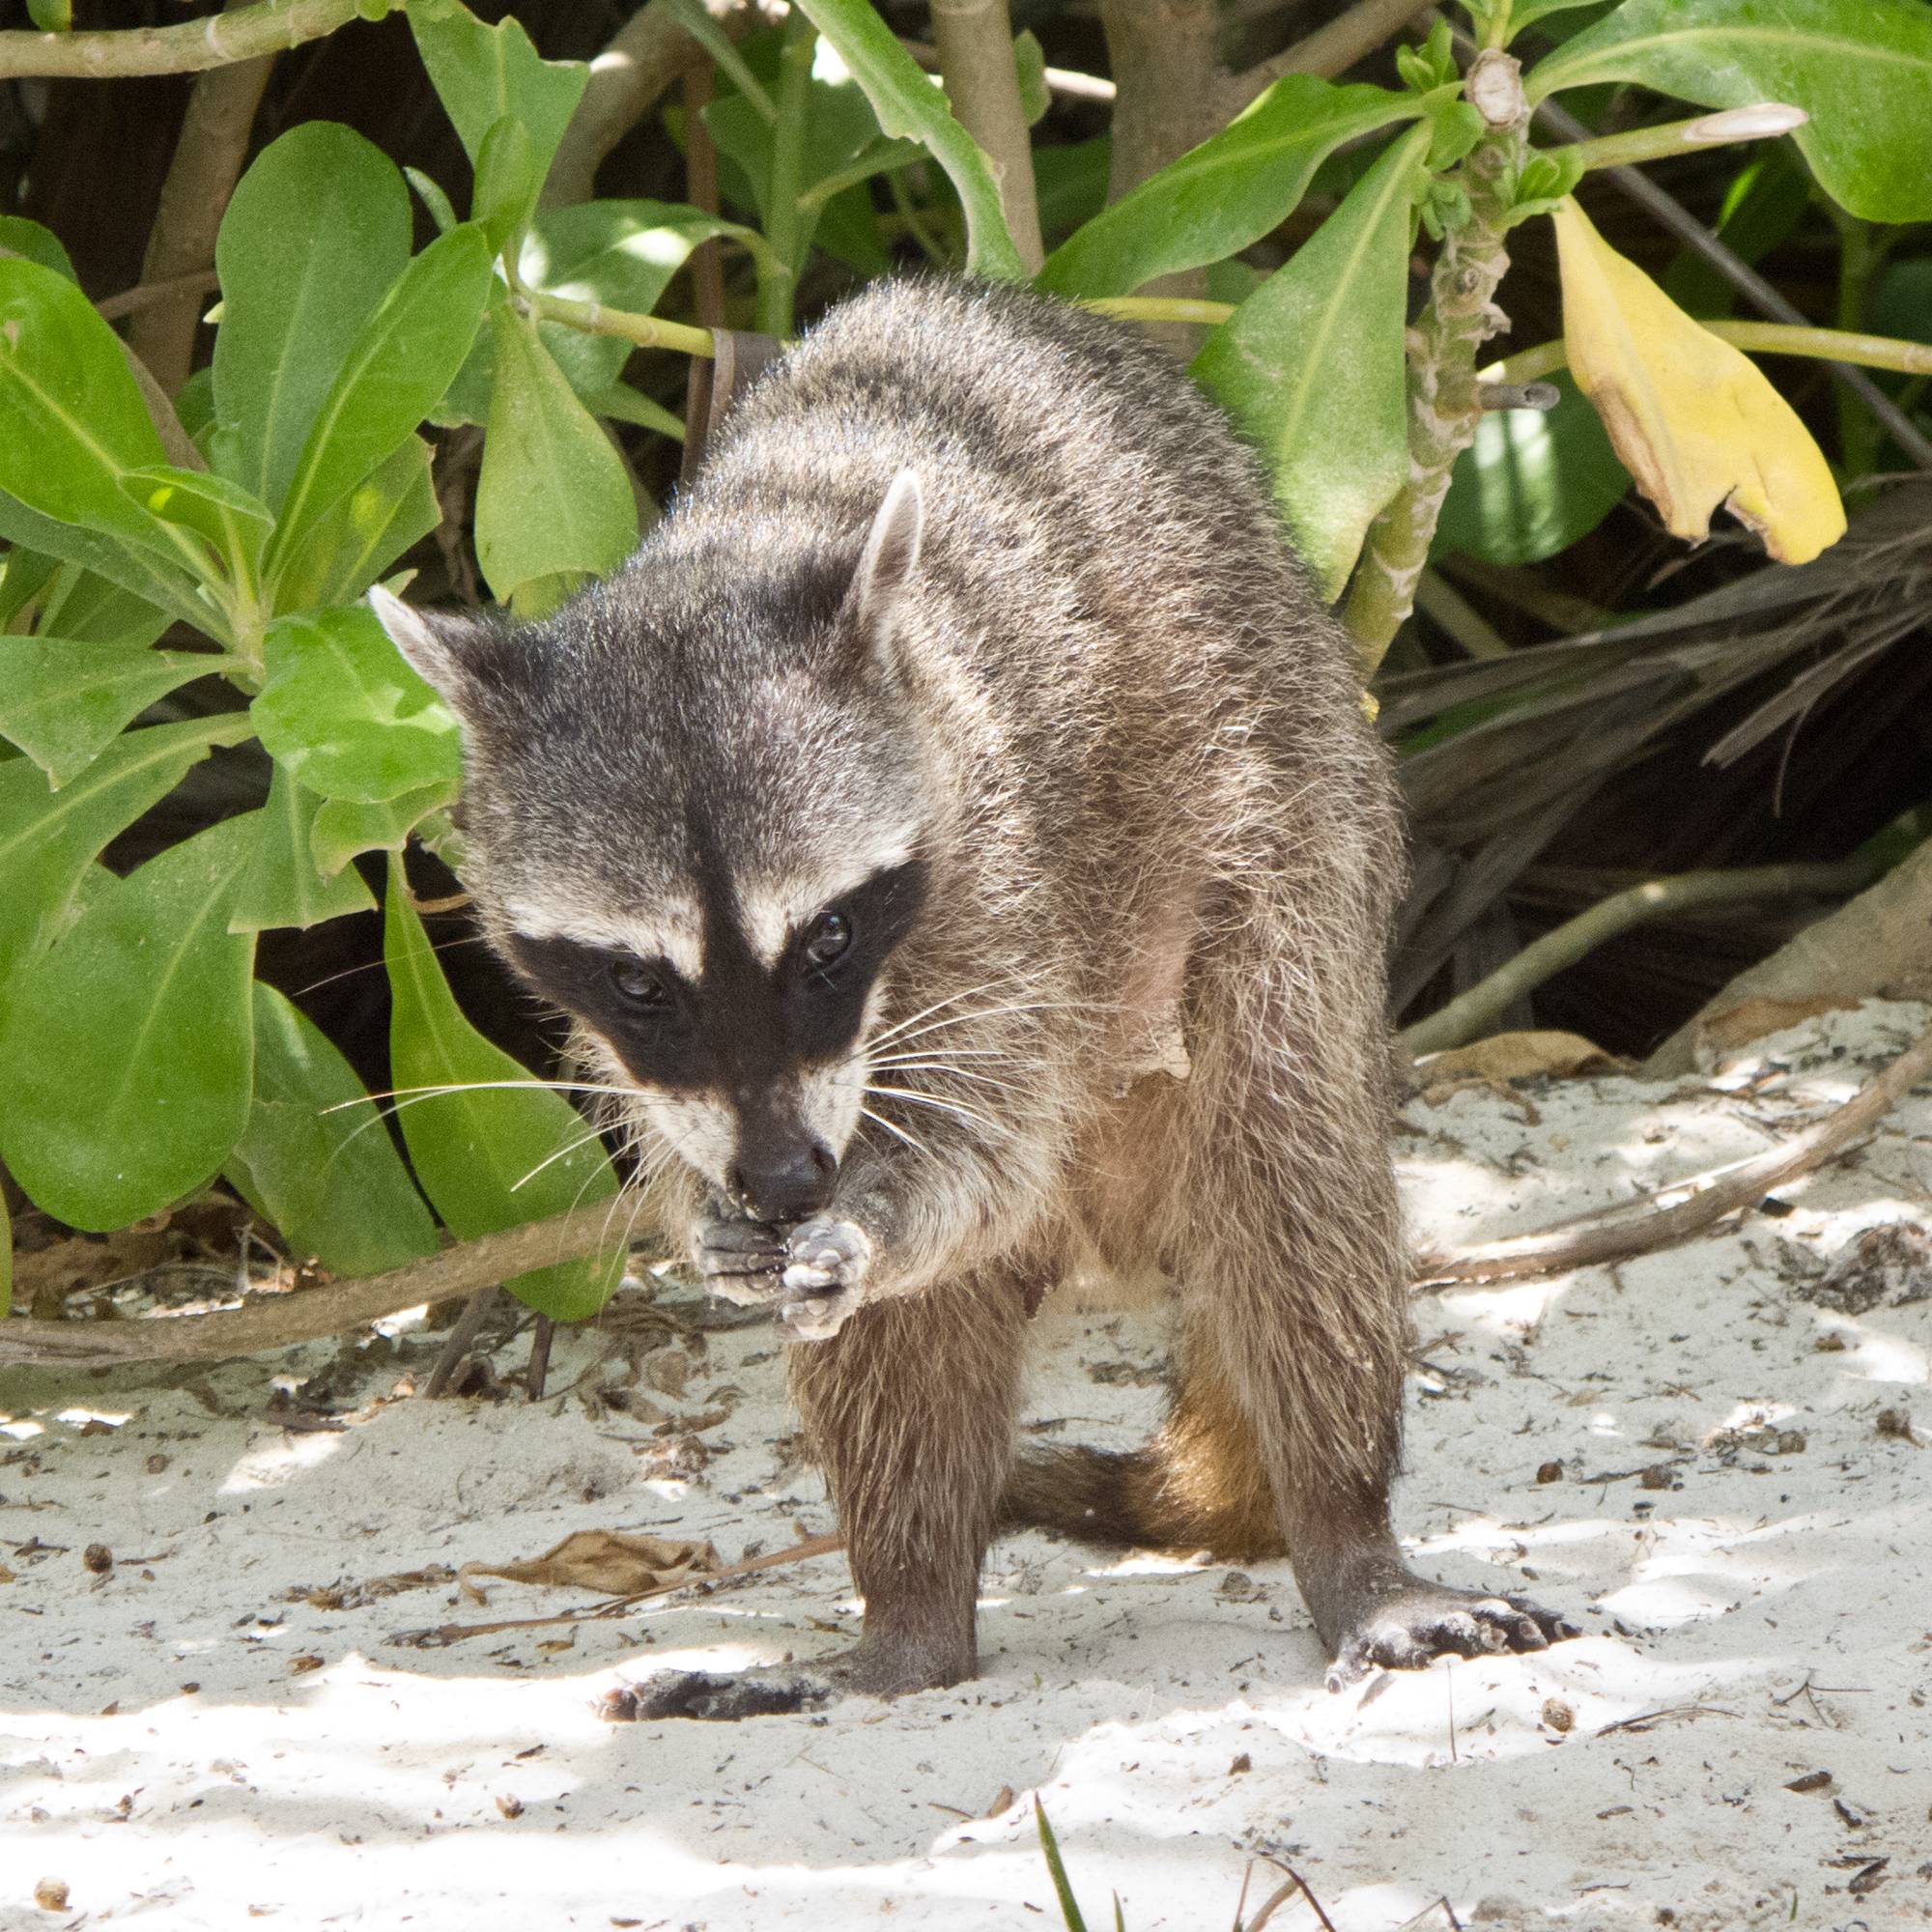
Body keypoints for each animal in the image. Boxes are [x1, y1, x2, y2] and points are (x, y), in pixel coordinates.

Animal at [373, 275, 1573, 1719]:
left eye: (827, 936)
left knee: (1287, 1176)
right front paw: (705, 1212)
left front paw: (874, 1217)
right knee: (906, 1356)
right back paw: (910, 1619)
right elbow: (711, 1154)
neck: (747, 545)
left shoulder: (1005, 866)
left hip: (1294, 845)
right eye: (637, 978)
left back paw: (1345, 1534)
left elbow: (990, 1153)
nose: (786, 1183)